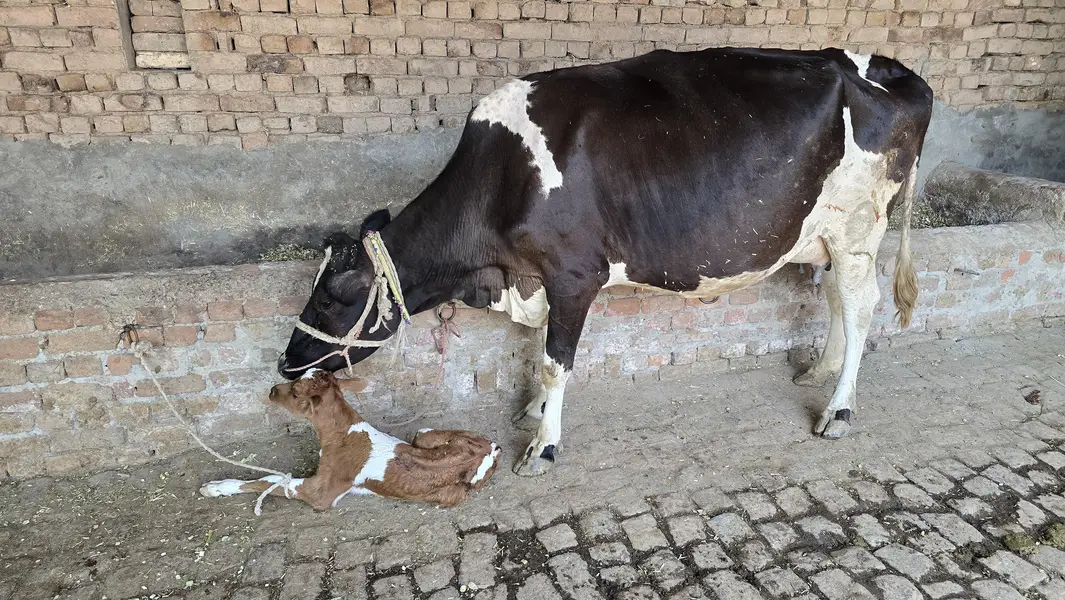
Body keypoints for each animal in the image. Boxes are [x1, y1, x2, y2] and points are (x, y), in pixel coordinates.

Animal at [276, 46, 934, 478]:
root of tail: (890, 71)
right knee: (838, 299)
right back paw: (819, 372)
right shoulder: (536, 276)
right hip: (824, 233)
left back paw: (839, 408)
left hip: (857, 225)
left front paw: (542, 444)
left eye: (331, 297)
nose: (286, 364)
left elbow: (553, 361)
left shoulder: (574, 274)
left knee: (862, 306)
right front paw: (534, 412)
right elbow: (540, 347)